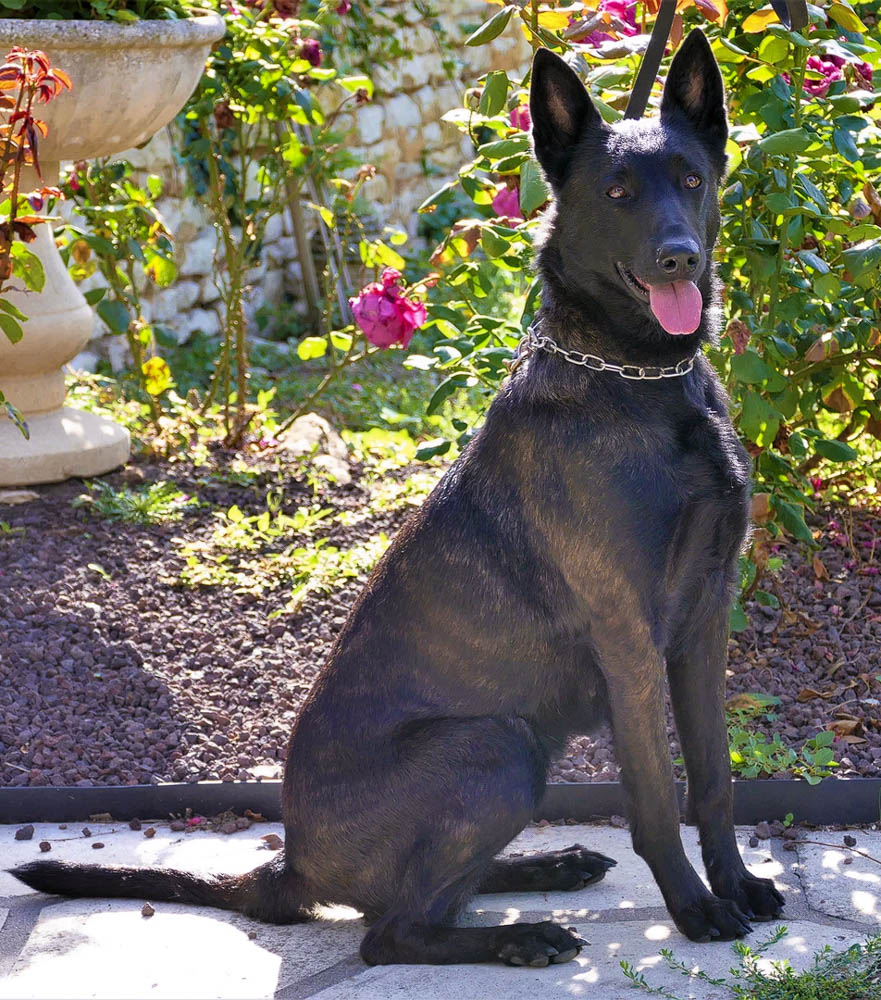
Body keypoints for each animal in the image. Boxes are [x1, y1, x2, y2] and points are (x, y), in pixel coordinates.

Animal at [12, 30, 784, 967]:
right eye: (616, 192)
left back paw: (545, 868)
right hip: (496, 745)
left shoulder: (705, 617)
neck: (640, 380)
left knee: (431, 897)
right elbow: (656, 798)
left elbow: (713, 778)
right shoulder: (628, 637)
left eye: (691, 180)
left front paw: (735, 884)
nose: (680, 258)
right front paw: (695, 908)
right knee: (391, 932)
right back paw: (522, 936)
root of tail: (292, 868)